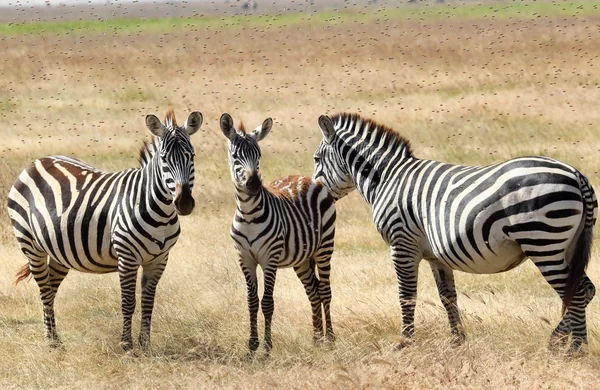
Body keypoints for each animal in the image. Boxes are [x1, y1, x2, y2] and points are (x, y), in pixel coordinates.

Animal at [7, 109, 203, 350]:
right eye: (164, 159)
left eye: (192, 156)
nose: (184, 203)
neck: (161, 212)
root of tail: (37, 161)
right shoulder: (127, 257)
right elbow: (128, 301)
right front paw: (127, 345)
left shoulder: (159, 259)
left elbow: (148, 302)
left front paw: (145, 345)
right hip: (31, 245)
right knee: (44, 290)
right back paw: (50, 343)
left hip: (59, 251)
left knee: (51, 290)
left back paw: (56, 339)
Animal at [221, 113, 338, 356]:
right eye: (235, 156)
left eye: (258, 155)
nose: (254, 184)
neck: (248, 214)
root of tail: (308, 178)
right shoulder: (244, 258)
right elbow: (252, 301)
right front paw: (252, 346)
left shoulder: (269, 258)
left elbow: (267, 302)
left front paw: (266, 348)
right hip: (302, 258)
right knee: (313, 291)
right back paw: (316, 338)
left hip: (324, 247)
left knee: (325, 290)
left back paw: (330, 339)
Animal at [314, 112, 596, 350]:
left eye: (316, 159)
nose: (314, 192)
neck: (387, 178)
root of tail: (576, 174)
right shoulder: (436, 256)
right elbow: (447, 297)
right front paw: (457, 342)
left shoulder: (401, 243)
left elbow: (407, 295)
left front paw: (404, 343)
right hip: (567, 245)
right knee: (586, 289)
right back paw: (560, 340)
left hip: (543, 242)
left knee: (576, 292)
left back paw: (575, 348)